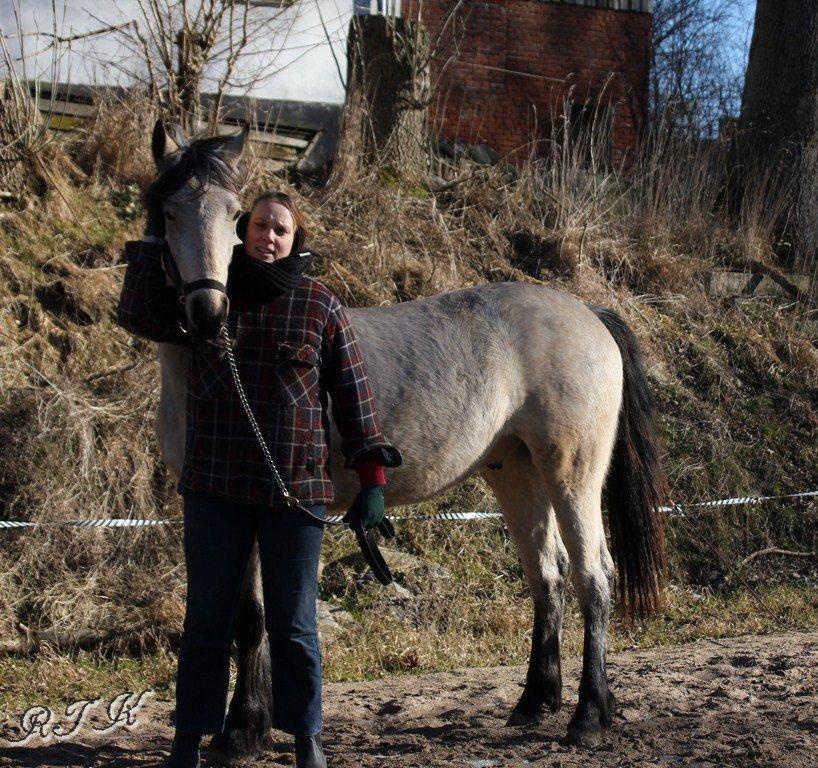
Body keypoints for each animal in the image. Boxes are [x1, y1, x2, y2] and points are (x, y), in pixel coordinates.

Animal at [142, 123, 664, 752]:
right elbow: (249, 616)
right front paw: (246, 729)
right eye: (168, 210)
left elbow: (260, 618)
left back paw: (588, 714)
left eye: (232, 213)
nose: (208, 311)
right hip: (517, 473)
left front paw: (243, 729)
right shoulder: (232, 505)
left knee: (593, 577)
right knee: (548, 576)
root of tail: (588, 310)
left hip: (571, 473)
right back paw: (534, 703)